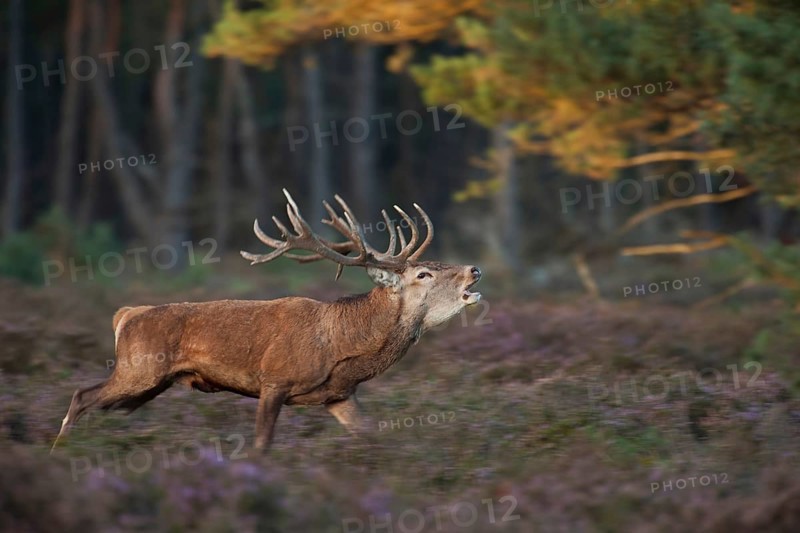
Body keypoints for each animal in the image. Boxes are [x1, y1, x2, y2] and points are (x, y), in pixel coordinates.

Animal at [51, 190, 482, 453]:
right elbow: (261, 445)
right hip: (138, 369)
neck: (343, 347)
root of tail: (125, 315)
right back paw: (59, 453)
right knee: (82, 396)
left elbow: (371, 438)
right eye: (423, 274)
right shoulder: (275, 379)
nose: (474, 270)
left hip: (143, 387)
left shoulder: (339, 395)